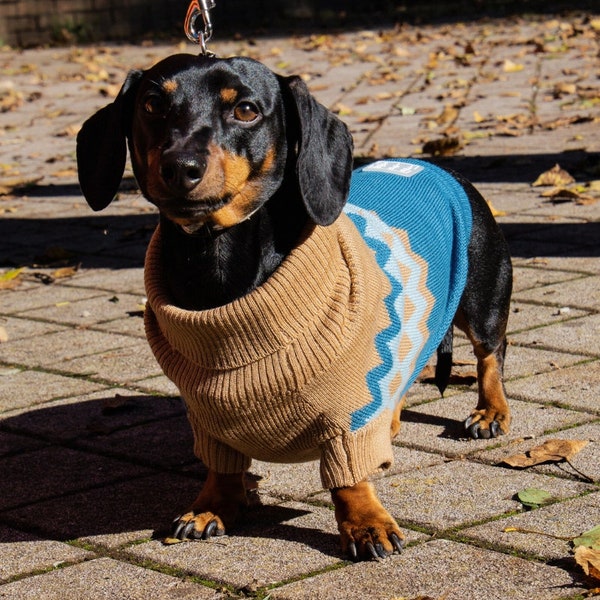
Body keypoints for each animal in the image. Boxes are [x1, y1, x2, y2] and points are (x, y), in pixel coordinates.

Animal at [77, 52, 512, 564]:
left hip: (482, 302)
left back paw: (490, 412)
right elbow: (222, 466)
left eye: (246, 109)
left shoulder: (349, 414)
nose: (180, 166)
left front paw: (365, 522)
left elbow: (348, 476)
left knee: (490, 355)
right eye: (152, 105)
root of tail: (435, 166)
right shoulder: (208, 419)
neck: (217, 262)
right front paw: (211, 506)